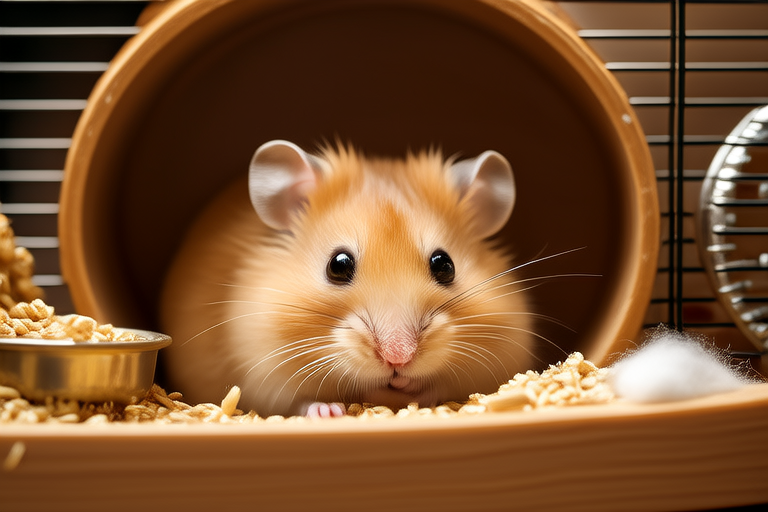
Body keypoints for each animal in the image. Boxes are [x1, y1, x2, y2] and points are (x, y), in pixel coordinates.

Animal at [160, 140, 534, 417]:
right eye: (337, 265)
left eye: (445, 265)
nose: (398, 359)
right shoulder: (261, 366)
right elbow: (298, 400)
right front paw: (331, 409)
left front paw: (412, 390)